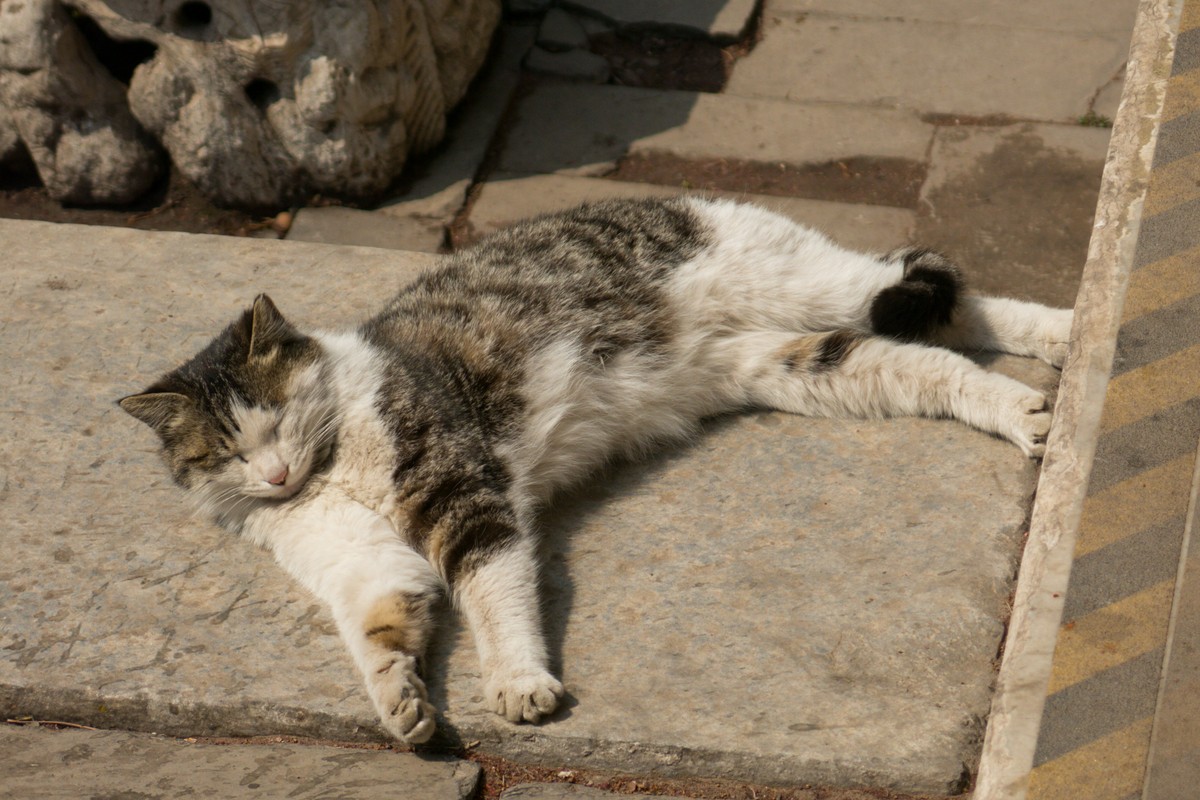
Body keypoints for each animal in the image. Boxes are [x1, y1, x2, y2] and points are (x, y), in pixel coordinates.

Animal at [121, 199, 1075, 743]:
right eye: (227, 453)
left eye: (274, 417)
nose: (277, 473)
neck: (331, 470)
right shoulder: (358, 562)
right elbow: (382, 628)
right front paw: (402, 707)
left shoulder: (465, 498)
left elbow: (495, 594)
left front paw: (518, 684)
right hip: (806, 365)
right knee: (929, 360)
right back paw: (1023, 409)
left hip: (810, 283)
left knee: (944, 288)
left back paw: (1065, 331)